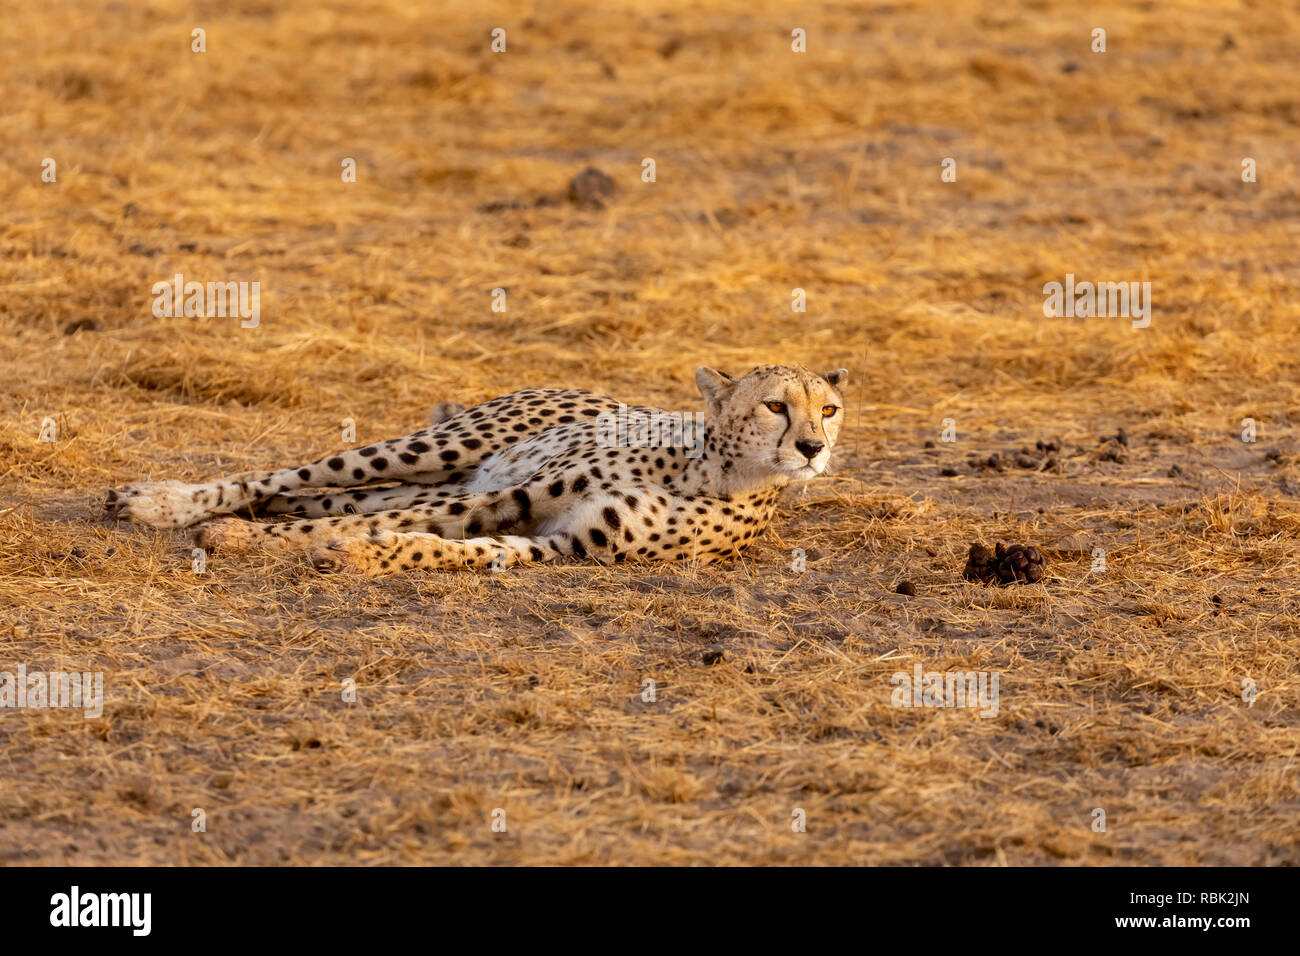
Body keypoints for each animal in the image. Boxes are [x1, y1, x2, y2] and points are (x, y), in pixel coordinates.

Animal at [106, 366, 847, 574]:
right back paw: (161, 503)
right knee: (289, 479)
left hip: (445, 476)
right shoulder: (522, 495)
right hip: (440, 448)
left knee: (331, 502)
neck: (710, 474)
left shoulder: (563, 540)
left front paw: (364, 556)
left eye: (829, 408)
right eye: (775, 405)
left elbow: (446, 548)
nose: (813, 447)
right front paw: (232, 538)